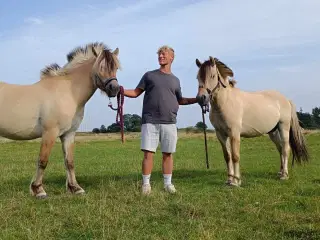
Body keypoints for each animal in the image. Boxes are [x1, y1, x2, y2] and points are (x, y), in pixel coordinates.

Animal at [0, 41, 121, 199]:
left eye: (116, 67)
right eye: (101, 67)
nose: (114, 89)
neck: (68, 92)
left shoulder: (69, 134)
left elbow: (69, 162)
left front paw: (75, 188)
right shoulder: (50, 133)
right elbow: (43, 160)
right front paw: (38, 190)